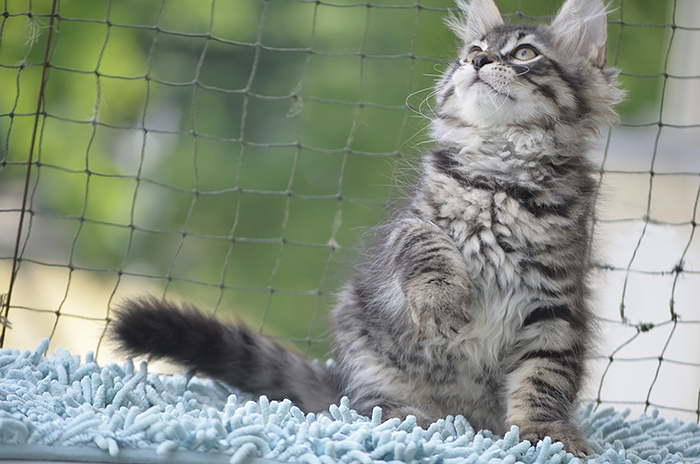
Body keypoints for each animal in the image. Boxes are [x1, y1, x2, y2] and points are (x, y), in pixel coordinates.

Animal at [109, 0, 623, 456]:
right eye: (473, 50)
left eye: (524, 54)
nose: (476, 62)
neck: (500, 178)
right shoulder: (409, 222)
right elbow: (427, 248)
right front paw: (440, 303)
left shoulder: (554, 304)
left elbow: (542, 380)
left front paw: (546, 436)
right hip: (362, 340)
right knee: (367, 407)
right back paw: (416, 423)